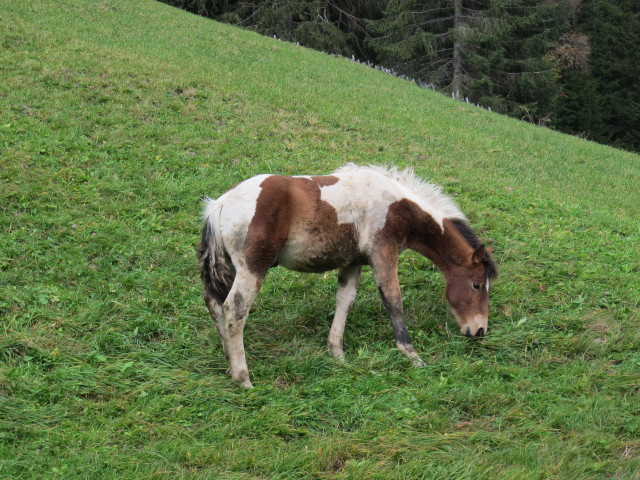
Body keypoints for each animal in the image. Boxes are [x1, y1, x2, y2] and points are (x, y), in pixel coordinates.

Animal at [198, 165, 498, 386]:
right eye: (476, 285)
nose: (479, 331)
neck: (398, 204)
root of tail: (219, 204)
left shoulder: (354, 262)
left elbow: (345, 301)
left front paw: (337, 355)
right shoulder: (383, 251)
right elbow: (393, 300)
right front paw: (412, 356)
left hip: (231, 268)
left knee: (214, 304)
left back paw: (229, 362)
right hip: (252, 268)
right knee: (234, 309)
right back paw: (243, 378)